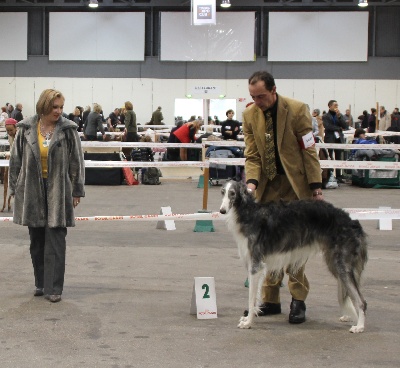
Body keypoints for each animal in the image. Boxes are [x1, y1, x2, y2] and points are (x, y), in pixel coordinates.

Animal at [220, 181, 368, 334]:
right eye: (222, 192)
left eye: (232, 193)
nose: (222, 211)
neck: (248, 213)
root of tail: (353, 222)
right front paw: (249, 317)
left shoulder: (256, 266)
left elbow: (251, 299)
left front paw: (248, 322)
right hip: (335, 264)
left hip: (342, 266)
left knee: (362, 301)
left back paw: (359, 326)